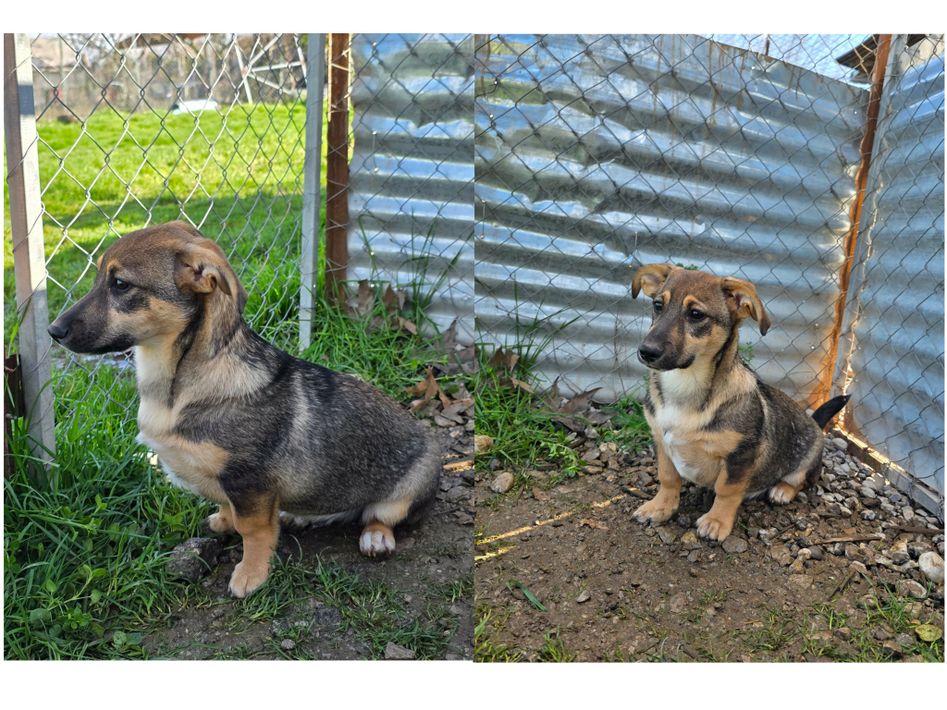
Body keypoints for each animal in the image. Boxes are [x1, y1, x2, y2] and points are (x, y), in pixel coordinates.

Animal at [48, 221, 441, 597]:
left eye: (120, 284)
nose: (54, 331)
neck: (178, 384)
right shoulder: (231, 484)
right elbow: (228, 508)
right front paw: (224, 522)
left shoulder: (249, 481)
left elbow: (253, 531)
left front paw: (251, 575)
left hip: (403, 495)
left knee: (378, 516)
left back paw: (375, 536)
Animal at [629, 263, 849, 542]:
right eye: (658, 305)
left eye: (696, 314)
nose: (646, 352)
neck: (685, 386)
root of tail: (815, 423)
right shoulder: (661, 440)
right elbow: (668, 478)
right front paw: (660, 507)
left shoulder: (740, 455)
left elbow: (727, 490)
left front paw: (716, 522)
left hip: (808, 460)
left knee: (800, 480)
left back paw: (781, 490)